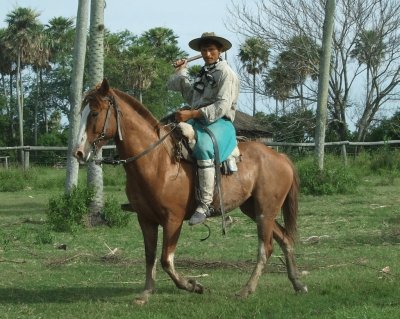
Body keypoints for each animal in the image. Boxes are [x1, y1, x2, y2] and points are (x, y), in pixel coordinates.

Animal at [74, 80, 306, 304]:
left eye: (94, 113)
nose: (79, 152)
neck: (157, 161)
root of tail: (280, 157)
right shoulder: (145, 219)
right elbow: (150, 256)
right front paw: (146, 293)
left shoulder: (173, 220)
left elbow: (166, 260)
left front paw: (194, 286)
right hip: (255, 210)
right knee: (285, 239)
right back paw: (297, 284)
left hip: (266, 211)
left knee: (265, 248)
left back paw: (246, 290)